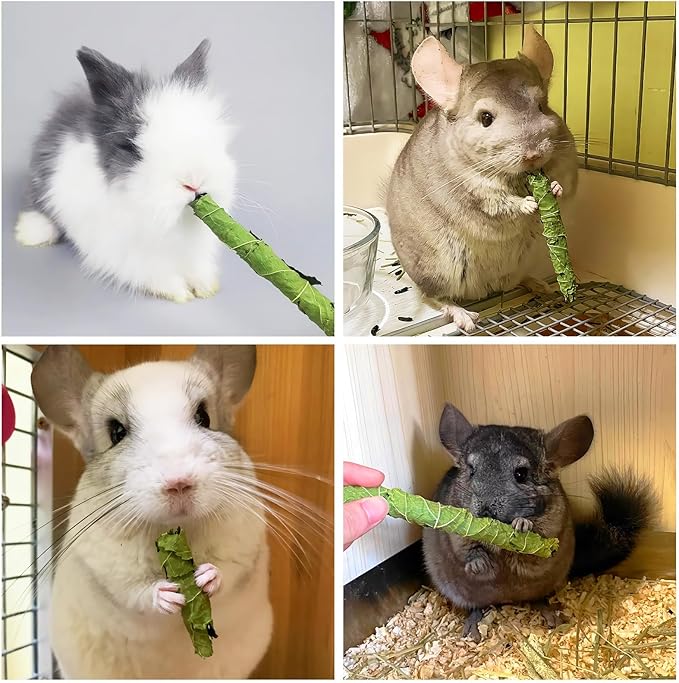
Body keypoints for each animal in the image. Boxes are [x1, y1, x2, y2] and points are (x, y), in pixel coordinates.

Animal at [14, 40, 234, 302]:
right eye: (131, 147)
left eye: (213, 134)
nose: (193, 180)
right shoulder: (124, 252)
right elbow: (152, 272)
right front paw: (178, 292)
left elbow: (198, 268)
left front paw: (205, 286)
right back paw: (31, 234)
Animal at [30, 345, 273, 678]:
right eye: (117, 432)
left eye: (203, 416)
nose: (179, 482)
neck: (179, 528)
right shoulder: (110, 574)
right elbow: (138, 595)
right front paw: (166, 594)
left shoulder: (245, 548)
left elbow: (229, 572)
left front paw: (208, 576)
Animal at [387, 27, 578, 331]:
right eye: (485, 118)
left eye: (542, 106)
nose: (534, 154)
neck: (515, 177)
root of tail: (482, 291)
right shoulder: (475, 193)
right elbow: (500, 204)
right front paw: (529, 204)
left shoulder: (567, 160)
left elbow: (563, 183)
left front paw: (555, 188)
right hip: (437, 271)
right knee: (433, 297)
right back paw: (466, 318)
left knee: (512, 283)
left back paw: (540, 285)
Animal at [423, 404, 655, 642]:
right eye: (471, 470)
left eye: (521, 474)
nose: (485, 507)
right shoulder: (455, 535)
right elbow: (467, 549)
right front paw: (479, 564)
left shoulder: (551, 537)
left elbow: (532, 554)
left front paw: (522, 524)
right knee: (476, 607)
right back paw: (472, 630)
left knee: (538, 599)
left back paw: (554, 617)